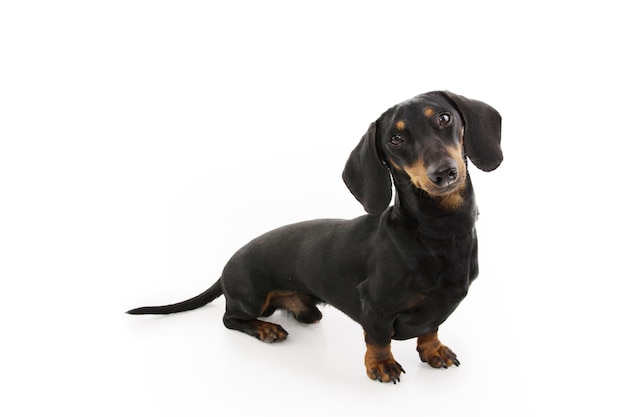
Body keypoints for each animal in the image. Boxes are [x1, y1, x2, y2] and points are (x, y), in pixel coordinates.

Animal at [128, 89, 502, 382]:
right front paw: (381, 365)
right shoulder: (375, 305)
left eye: (444, 118)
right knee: (229, 318)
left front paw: (433, 350)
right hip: (250, 298)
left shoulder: (438, 308)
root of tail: (225, 269)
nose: (444, 173)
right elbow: (378, 339)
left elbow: (430, 328)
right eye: (395, 139)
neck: (438, 234)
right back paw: (266, 329)